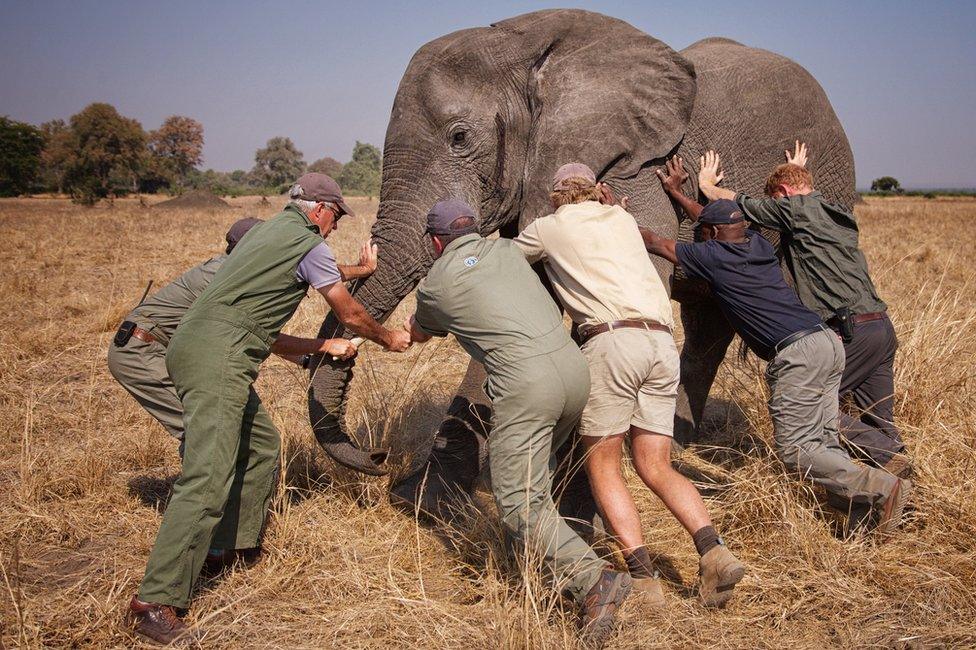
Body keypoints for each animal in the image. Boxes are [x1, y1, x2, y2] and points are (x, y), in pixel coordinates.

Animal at [304, 6, 856, 512]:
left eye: (459, 137)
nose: (377, 459)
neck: (525, 47)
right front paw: (425, 501)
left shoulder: (637, 169)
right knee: (707, 326)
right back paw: (676, 443)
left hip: (827, 183)